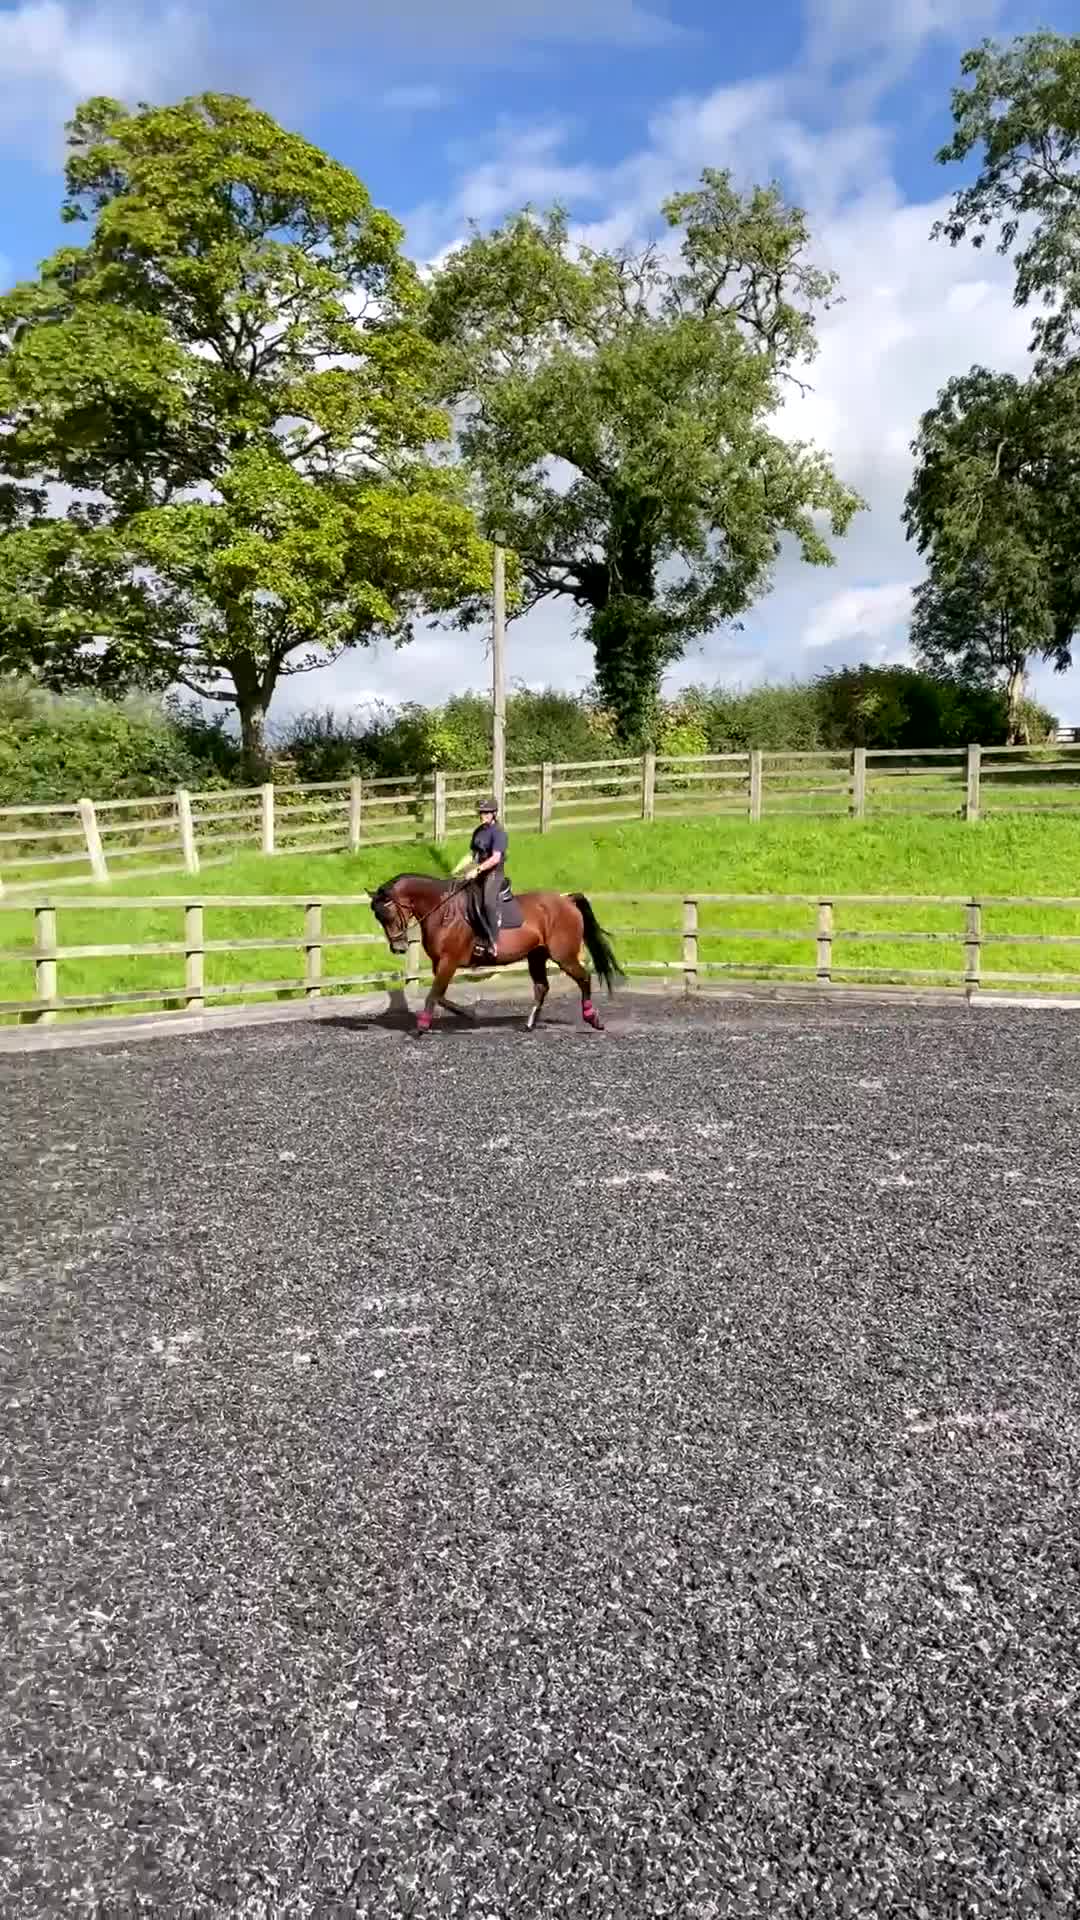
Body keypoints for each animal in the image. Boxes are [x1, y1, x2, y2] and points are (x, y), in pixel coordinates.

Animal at [369, 872, 623, 1033]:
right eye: (378, 918)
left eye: (389, 914)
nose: (398, 948)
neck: (443, 911)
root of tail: (567, 900)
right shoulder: (440, 963)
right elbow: (439, 995)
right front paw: (468, 1014)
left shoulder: (449, 961)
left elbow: (434, 994)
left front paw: (421, 1027)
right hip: (536, 955)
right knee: (542, 987)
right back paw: (529, 1025)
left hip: (564, 956)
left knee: (584, 978)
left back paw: (593, 1019)